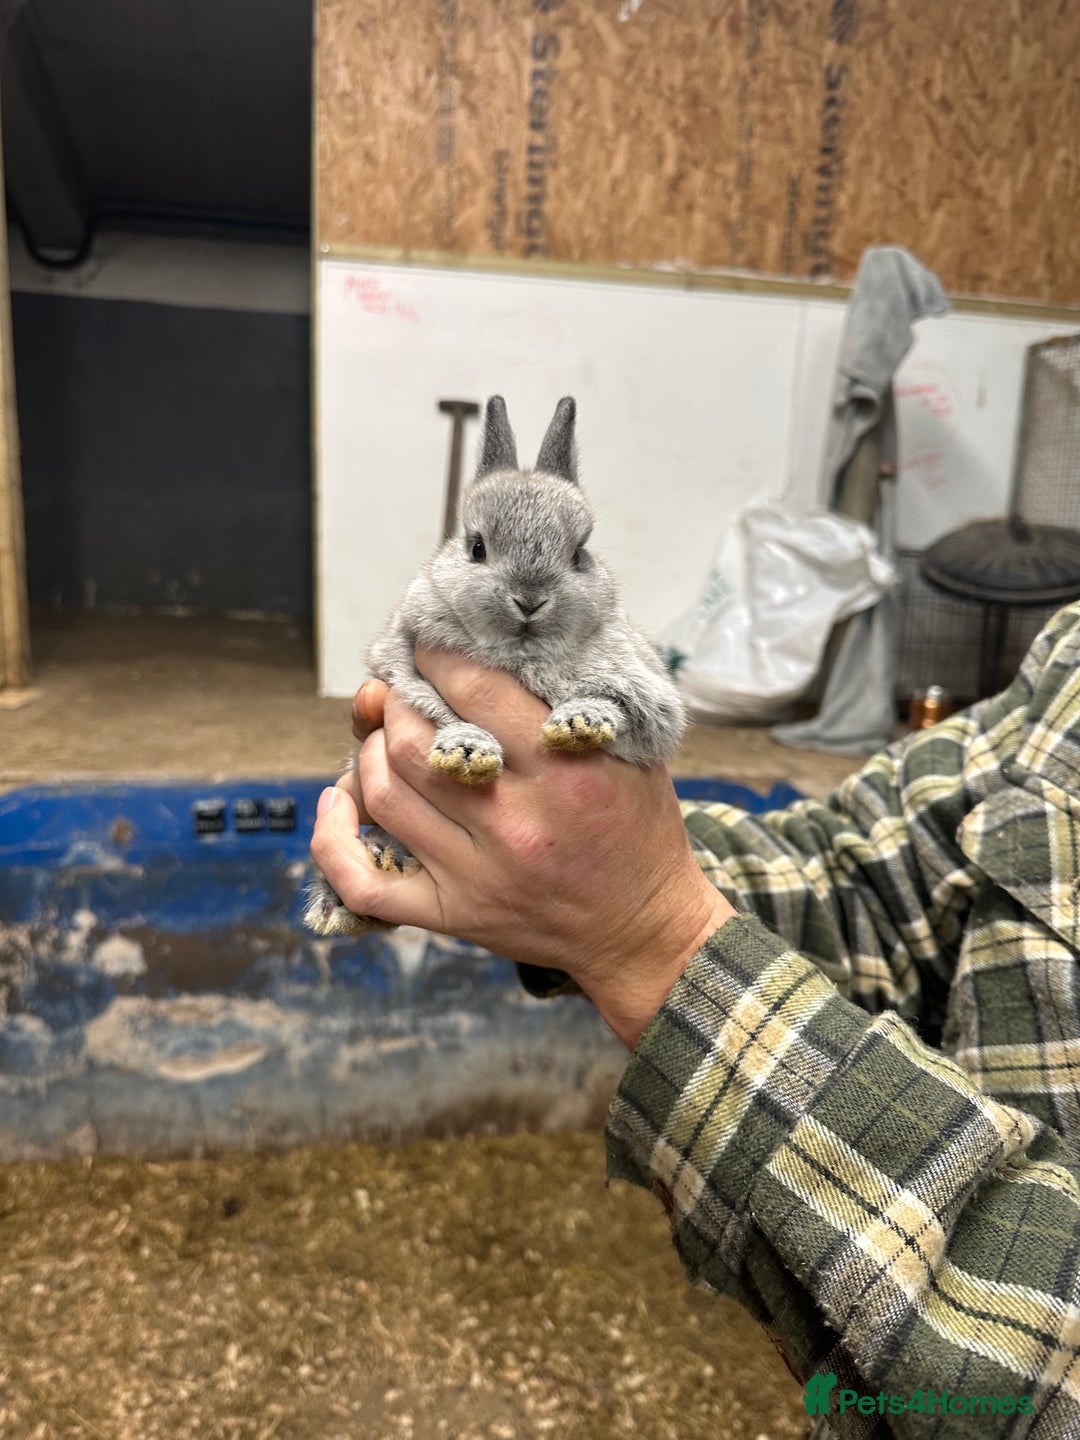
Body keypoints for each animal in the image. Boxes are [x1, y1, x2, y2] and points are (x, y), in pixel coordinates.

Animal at [304, 394, 686, 994]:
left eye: (579, 554)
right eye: (477, 547)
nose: (529, 599)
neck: (521, 652)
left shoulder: (650, 697)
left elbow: (619, 705)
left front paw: (579, 725)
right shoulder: (402, 669)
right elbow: (435, 710)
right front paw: (467, 753)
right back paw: (359, 884)